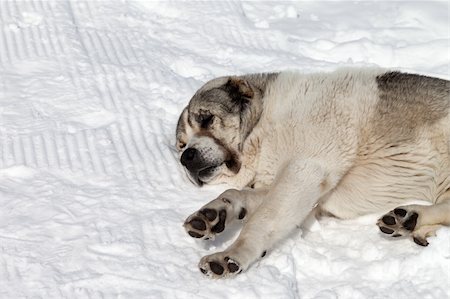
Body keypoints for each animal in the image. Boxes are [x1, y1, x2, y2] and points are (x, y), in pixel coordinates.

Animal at [174, 68, 448, 278]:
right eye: (181, 144)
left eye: (207, 119)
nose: (186, 157)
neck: (265, 126)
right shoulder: (307, 193)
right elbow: (237, 194)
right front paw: (214, 214)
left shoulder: (304, 170)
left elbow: (262, 218)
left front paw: (231, 255)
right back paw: (411, 222)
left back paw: (411, 219)